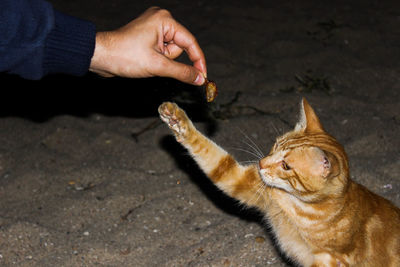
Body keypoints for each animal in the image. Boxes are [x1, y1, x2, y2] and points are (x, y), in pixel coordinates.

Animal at [159, 99, 400, 267]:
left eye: (286, 166)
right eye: (275, 146)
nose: (260, 164)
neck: (300, 208)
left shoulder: (329, 259)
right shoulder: (243, 181)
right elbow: (210, 154)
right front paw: (178, 121)